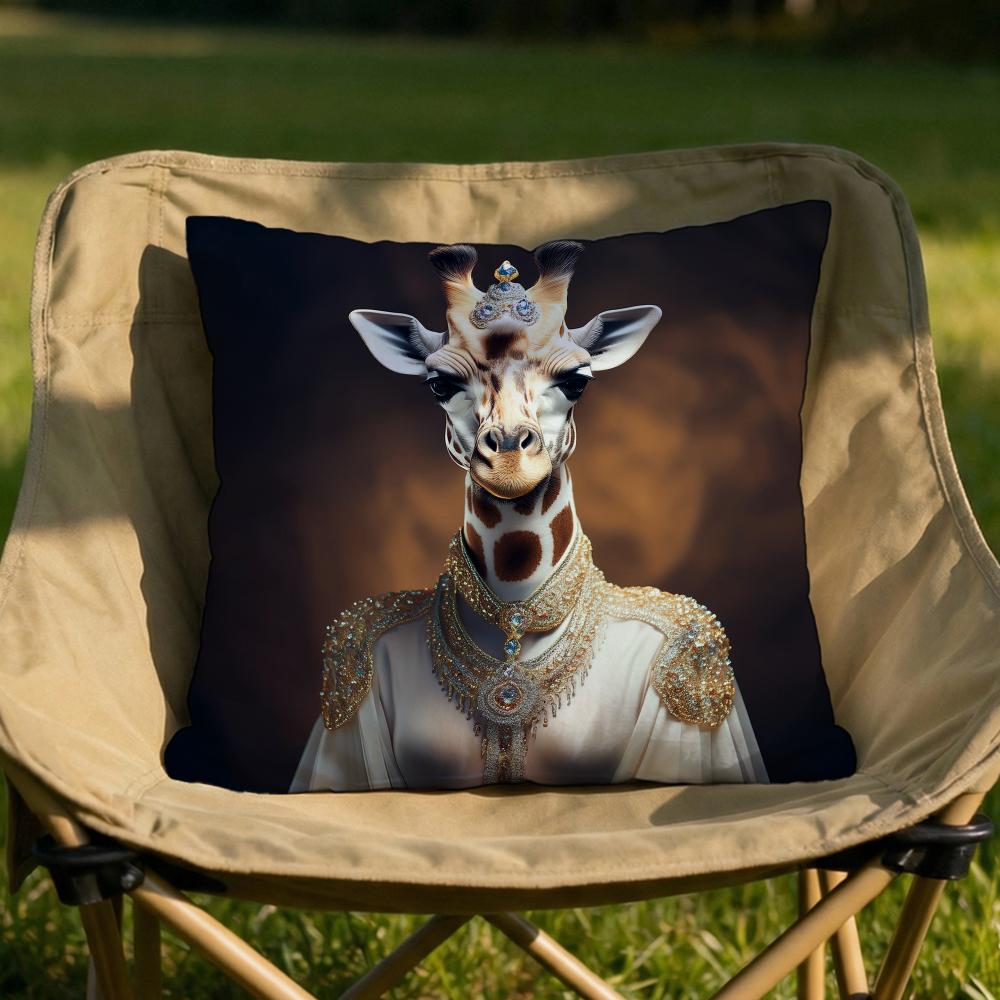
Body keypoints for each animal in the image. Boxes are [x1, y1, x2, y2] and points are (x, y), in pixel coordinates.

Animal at [290, 241, 769, 791]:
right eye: (438, 383)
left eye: (577, 380)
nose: (509, 459)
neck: (513, 618)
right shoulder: (345, 684)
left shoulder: (698, 684)